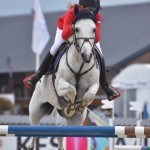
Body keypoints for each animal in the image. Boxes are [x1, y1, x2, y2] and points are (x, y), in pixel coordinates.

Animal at [27, 5, 101, 149]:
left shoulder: (94, 85)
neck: (80, 66)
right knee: (34, 129)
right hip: (35, 110)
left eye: (94, 29)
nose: (87, 56)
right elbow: (72, 90)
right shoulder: (60, 83)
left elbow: (88, 96)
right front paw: (71, 107)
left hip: (75, 122)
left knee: (62, 134)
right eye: (76, 29)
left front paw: (79, 107)